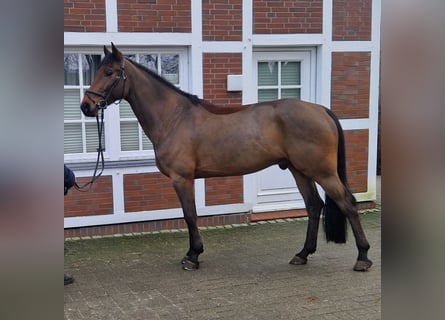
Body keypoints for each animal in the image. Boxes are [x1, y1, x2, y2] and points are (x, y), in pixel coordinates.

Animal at [79, 43, 372, 272]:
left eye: (109, 72)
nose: (86, 106)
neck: (174, 118)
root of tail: (322, 110)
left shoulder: (182, 179)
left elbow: (190, 215)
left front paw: (193, 256)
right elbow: (190, 215)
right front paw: (193, 253)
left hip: (323, 172)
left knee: (347, 203)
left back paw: (363, 257)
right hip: (299, 171)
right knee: (313, 206)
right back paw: (302, 254)